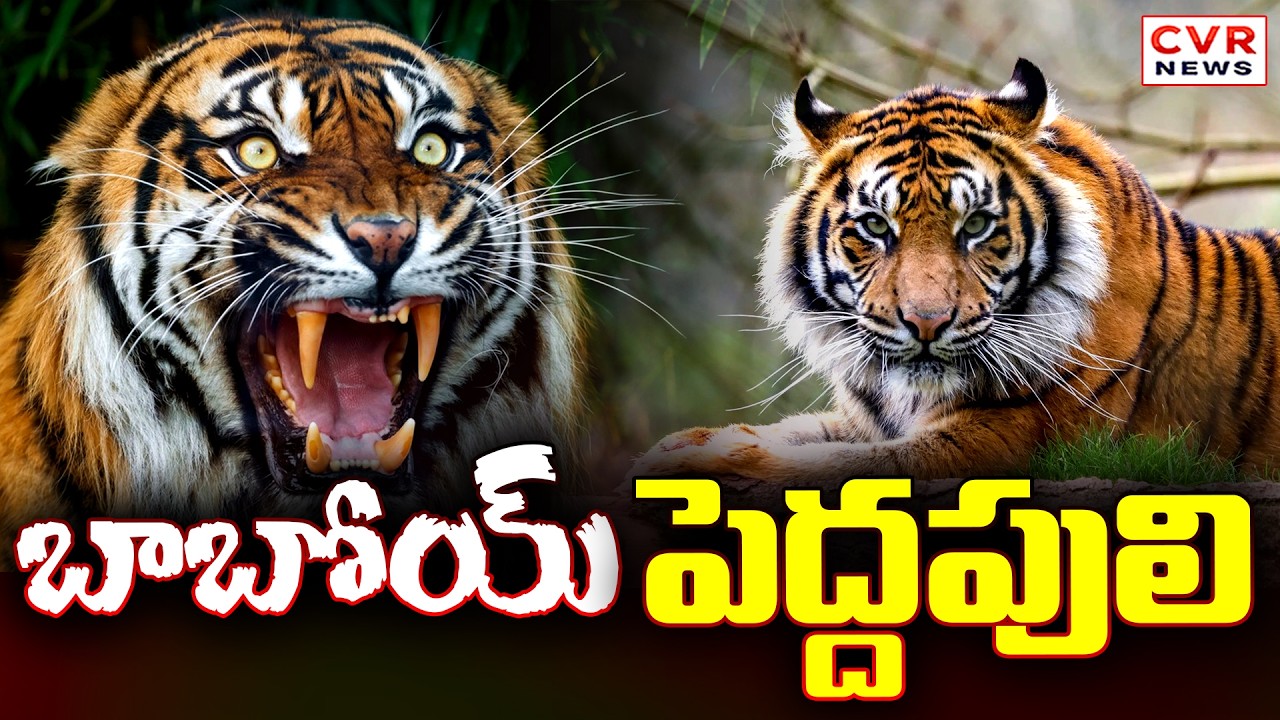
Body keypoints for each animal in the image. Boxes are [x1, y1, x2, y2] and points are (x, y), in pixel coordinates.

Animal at [634, 58, 1280, 494]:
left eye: (976, 225)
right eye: (875, 225)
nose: (926, 323)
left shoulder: (1004, 438)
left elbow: (835, 467)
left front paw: (700, 465)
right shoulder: (867, 421)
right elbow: (798, 432)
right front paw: (685, 442)